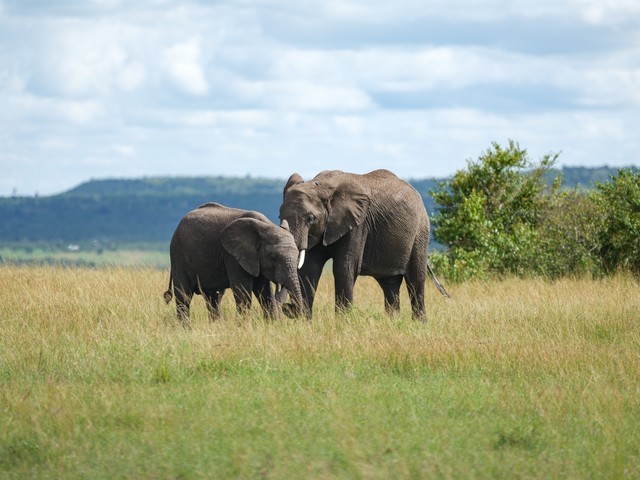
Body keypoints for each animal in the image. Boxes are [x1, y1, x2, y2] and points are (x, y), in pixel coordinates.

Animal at [165, 202, 304, 326]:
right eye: (273, 257)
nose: (288, 307)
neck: (265, 226)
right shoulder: (232, 256)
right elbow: (243, 291)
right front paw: (244, 326)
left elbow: (264, 291)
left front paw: (270, 324)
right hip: (178, 254)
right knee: (184, 296)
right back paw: (186, 328)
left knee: (213, 297)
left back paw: (216, 326)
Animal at [280, 169, 450, 318]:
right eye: (279, 216)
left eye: (310, 219)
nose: (288, 307)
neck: (322, 186)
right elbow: (309, 268)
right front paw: (305, 322)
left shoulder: (358, 224)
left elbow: (344, 268)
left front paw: (343, 322)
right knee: (390, 284)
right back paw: (393, 323)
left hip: (420, 231)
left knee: (416, 281)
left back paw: (419, 324)